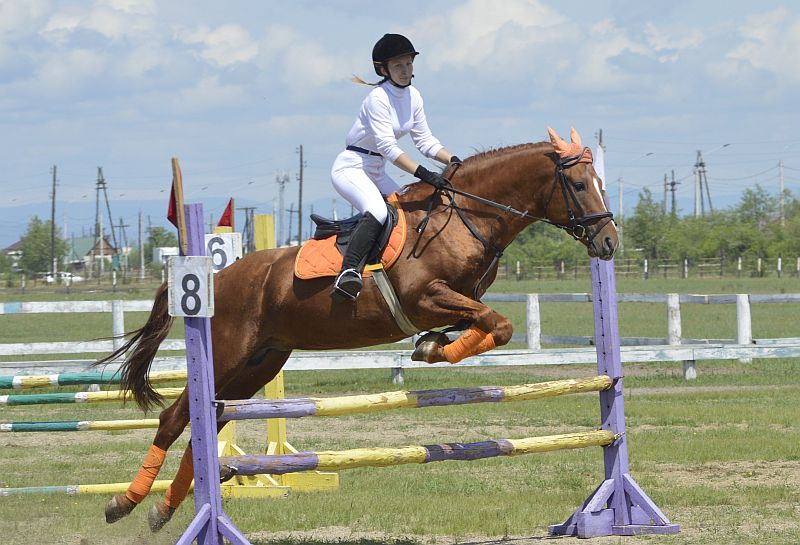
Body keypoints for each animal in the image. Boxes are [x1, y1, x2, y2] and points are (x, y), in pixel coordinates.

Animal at [98, 127, 619, 531]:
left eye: (600, 182)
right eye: (578, 183)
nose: (609, 242)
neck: (465, 220)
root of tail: (217, 277)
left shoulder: (457, 302)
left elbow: (486, 323)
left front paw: (432, 347)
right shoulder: (424, 297)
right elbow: (499, 324)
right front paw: (432, 349)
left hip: (258, 364)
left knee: (207, 423)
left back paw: (163, 509)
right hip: (228, 354)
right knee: (175, 418)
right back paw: (124, 503)